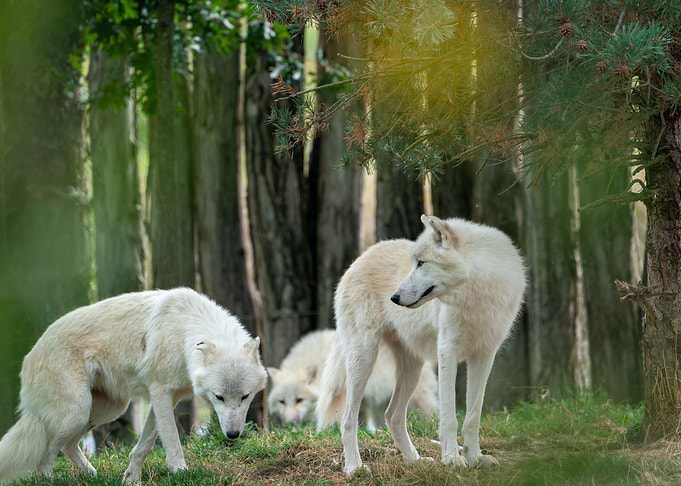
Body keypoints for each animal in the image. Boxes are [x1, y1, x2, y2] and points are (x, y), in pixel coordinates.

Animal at [0, 288, 266, 484]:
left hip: (105, 410)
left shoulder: (167, 399)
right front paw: (180, 472)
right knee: (43, 459)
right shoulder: (160, 393)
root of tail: (28, 357)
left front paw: (131, 479)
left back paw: (94, 477)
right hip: (76, 412)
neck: (183, 332)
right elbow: (172, 441)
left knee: (67, 447)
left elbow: (143, 445)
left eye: (245, 396)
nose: (232, 435)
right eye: (219, 397)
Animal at [316, 215, 526, 475]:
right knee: (348, 419)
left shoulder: (485, 356)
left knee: (392, 415)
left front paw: (475, 458)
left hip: (412, 370)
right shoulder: (447, 353)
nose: (394, 298)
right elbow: (449, 418)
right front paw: (452, 459)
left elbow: (473, 416)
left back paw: (414, 460)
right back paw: (355, 467)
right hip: (363, 360)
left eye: (421, 263)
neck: (477, 296)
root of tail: (359, 258)